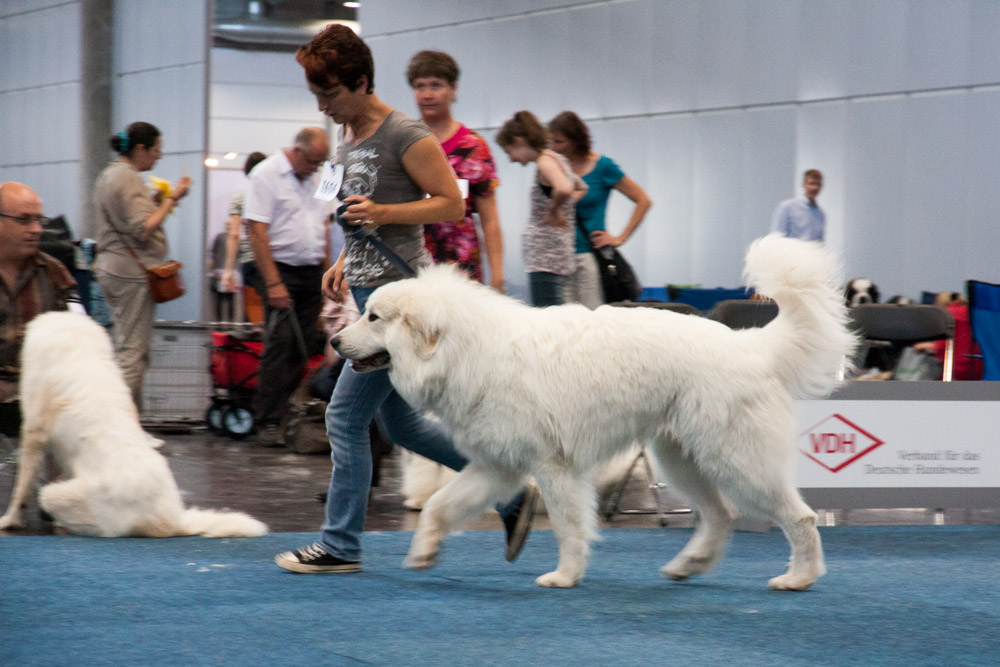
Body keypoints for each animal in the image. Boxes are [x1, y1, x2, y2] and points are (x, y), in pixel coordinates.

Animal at [0, 310, 268, 540]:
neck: (75, 338)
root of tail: (173, 519)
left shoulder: (33, 433)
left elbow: (21, 487)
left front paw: (10, 520)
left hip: (57, 496)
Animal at [332, 236, 856, 588]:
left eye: (373, 317)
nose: (335, 342)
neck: (466, 347)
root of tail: (753, 345)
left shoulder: (551, 466)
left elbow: (568, 526)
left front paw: (564, 576)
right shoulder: (497, 466)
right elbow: (440, 506)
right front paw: (423, 552)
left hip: (736, 461)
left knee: (800, 518)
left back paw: (800, 578)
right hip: (683, 461)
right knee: (721, 516)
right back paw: (687, 566)